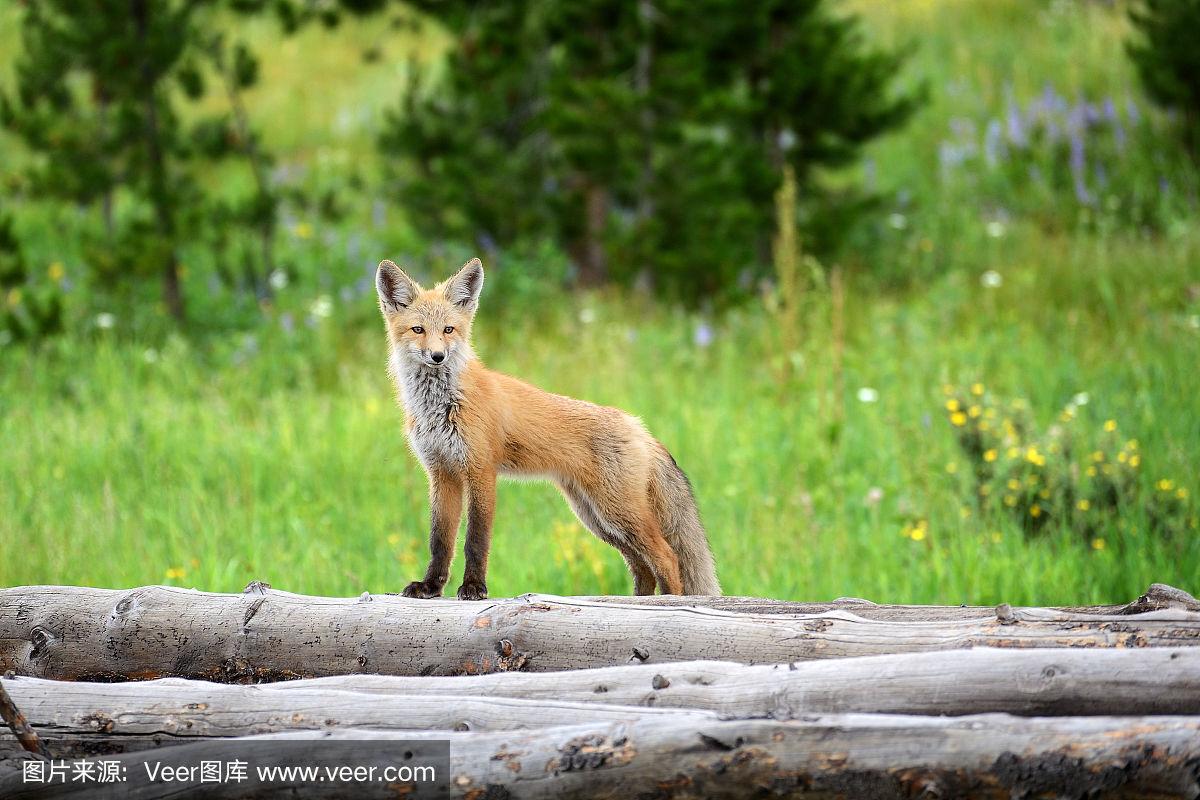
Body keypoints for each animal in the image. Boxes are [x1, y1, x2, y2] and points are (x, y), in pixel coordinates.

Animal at [372, 257, 720, 599]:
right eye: (418, 330)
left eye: (448, 329)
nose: (437, 356)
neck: (441, 404)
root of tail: (639, 426)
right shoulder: (442, 473)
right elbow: (440, 541)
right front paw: (430, 587)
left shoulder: (481, 471)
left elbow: (476, 540)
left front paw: (474, 588)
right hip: (598, 518)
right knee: (643, 567)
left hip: (618, 512)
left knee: (667, 557)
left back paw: (670, 603)